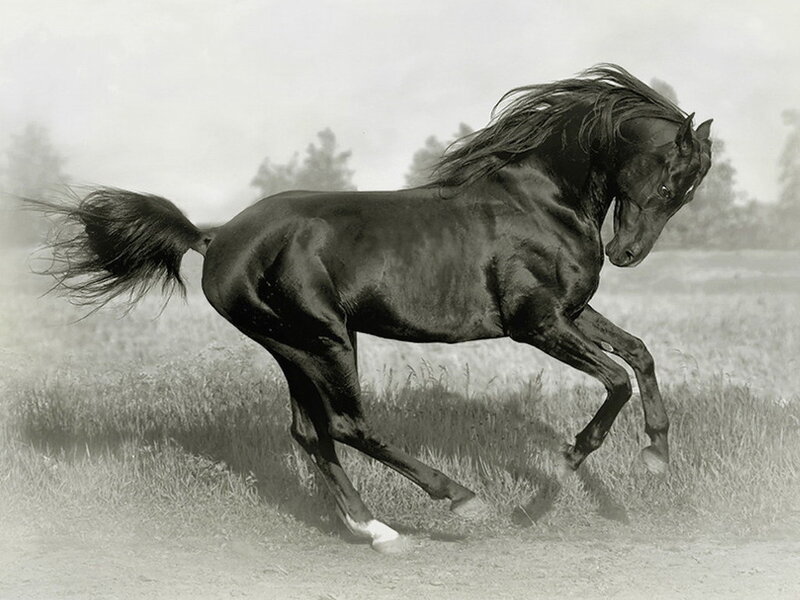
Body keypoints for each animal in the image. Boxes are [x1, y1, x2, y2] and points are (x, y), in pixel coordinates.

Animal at [34, 64, 713, 553]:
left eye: (688, 190)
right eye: (669, 180)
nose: (626, 254)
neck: (541, 203)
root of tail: (216, 238)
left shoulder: (570, 312)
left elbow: (640, 355)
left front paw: (656, 452)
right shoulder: (534, 323)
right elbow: (615, 379)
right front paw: (563, 464)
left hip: (296, 347)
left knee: (310, 432)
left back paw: (375, 530)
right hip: (324, 338)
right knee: (346, 426)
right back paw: (460, 499)